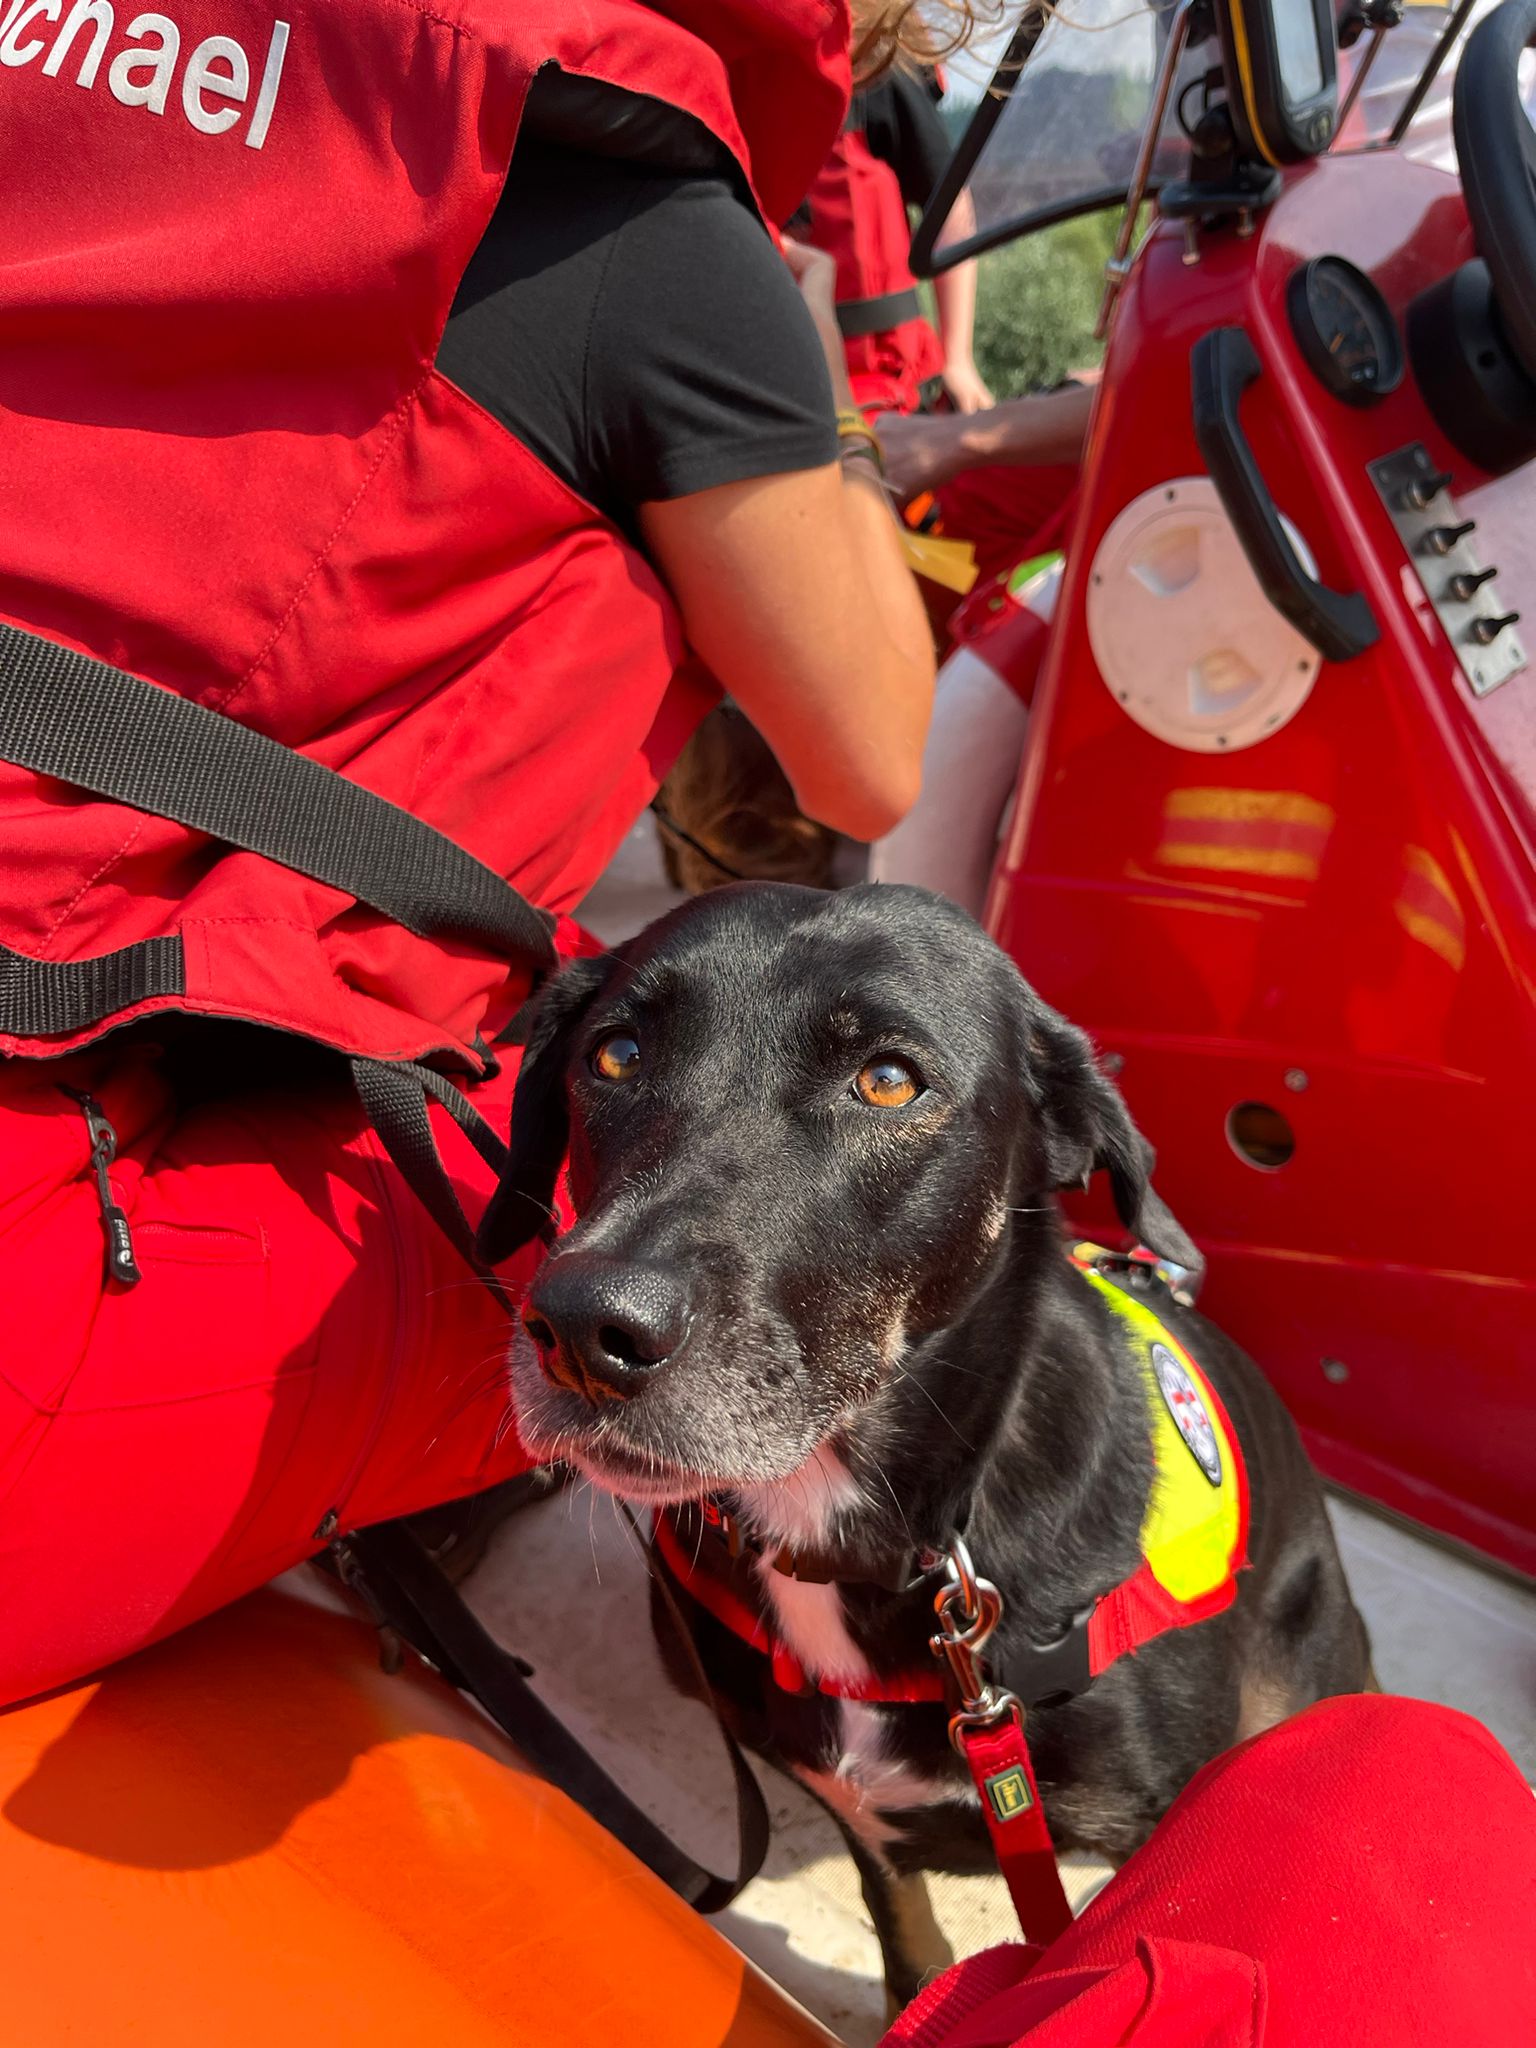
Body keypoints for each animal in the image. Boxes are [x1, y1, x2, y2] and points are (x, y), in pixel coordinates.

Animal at [485, 882, 1372, 2002]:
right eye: (615, 1053)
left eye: (889, 1080)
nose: (582, 1329)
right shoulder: (861, 1814)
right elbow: (908, 1933)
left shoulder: (1165, 1832)